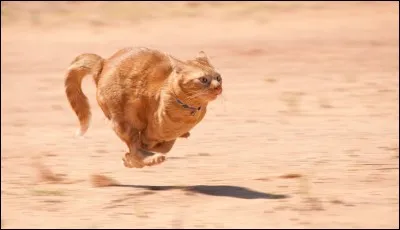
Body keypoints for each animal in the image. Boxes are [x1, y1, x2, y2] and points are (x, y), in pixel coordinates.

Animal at [64, 47, 223, 169]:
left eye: (218, 78)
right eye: (203, 79)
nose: (218, 88)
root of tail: (103, 62)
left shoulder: (166, 137)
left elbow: (164, 146)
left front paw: (129, 159)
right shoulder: (146, 129)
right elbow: (141, 146)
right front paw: (132, 159)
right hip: (121, 119)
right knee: (135, 147)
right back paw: (149, 159)